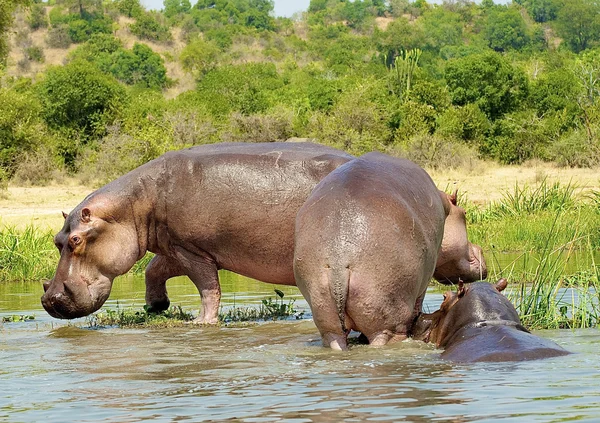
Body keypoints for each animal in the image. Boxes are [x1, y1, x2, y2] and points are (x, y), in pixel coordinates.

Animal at [44, 142, 354, 322]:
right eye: (57, 240)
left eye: (76, 239)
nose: (49, 300)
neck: (134, 203)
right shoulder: (175, 246)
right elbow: (153, 270)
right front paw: (156, 307)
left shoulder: (192, 251)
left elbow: (208, 288)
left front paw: (201, 323)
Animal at [292, 152, 486, 352]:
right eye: (464, 213)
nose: (481, 251)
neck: (445, 207)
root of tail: (339, 259)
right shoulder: (422, 284)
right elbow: (418, 306)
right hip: (387, 319)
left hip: (327, 318)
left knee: (335, 337)